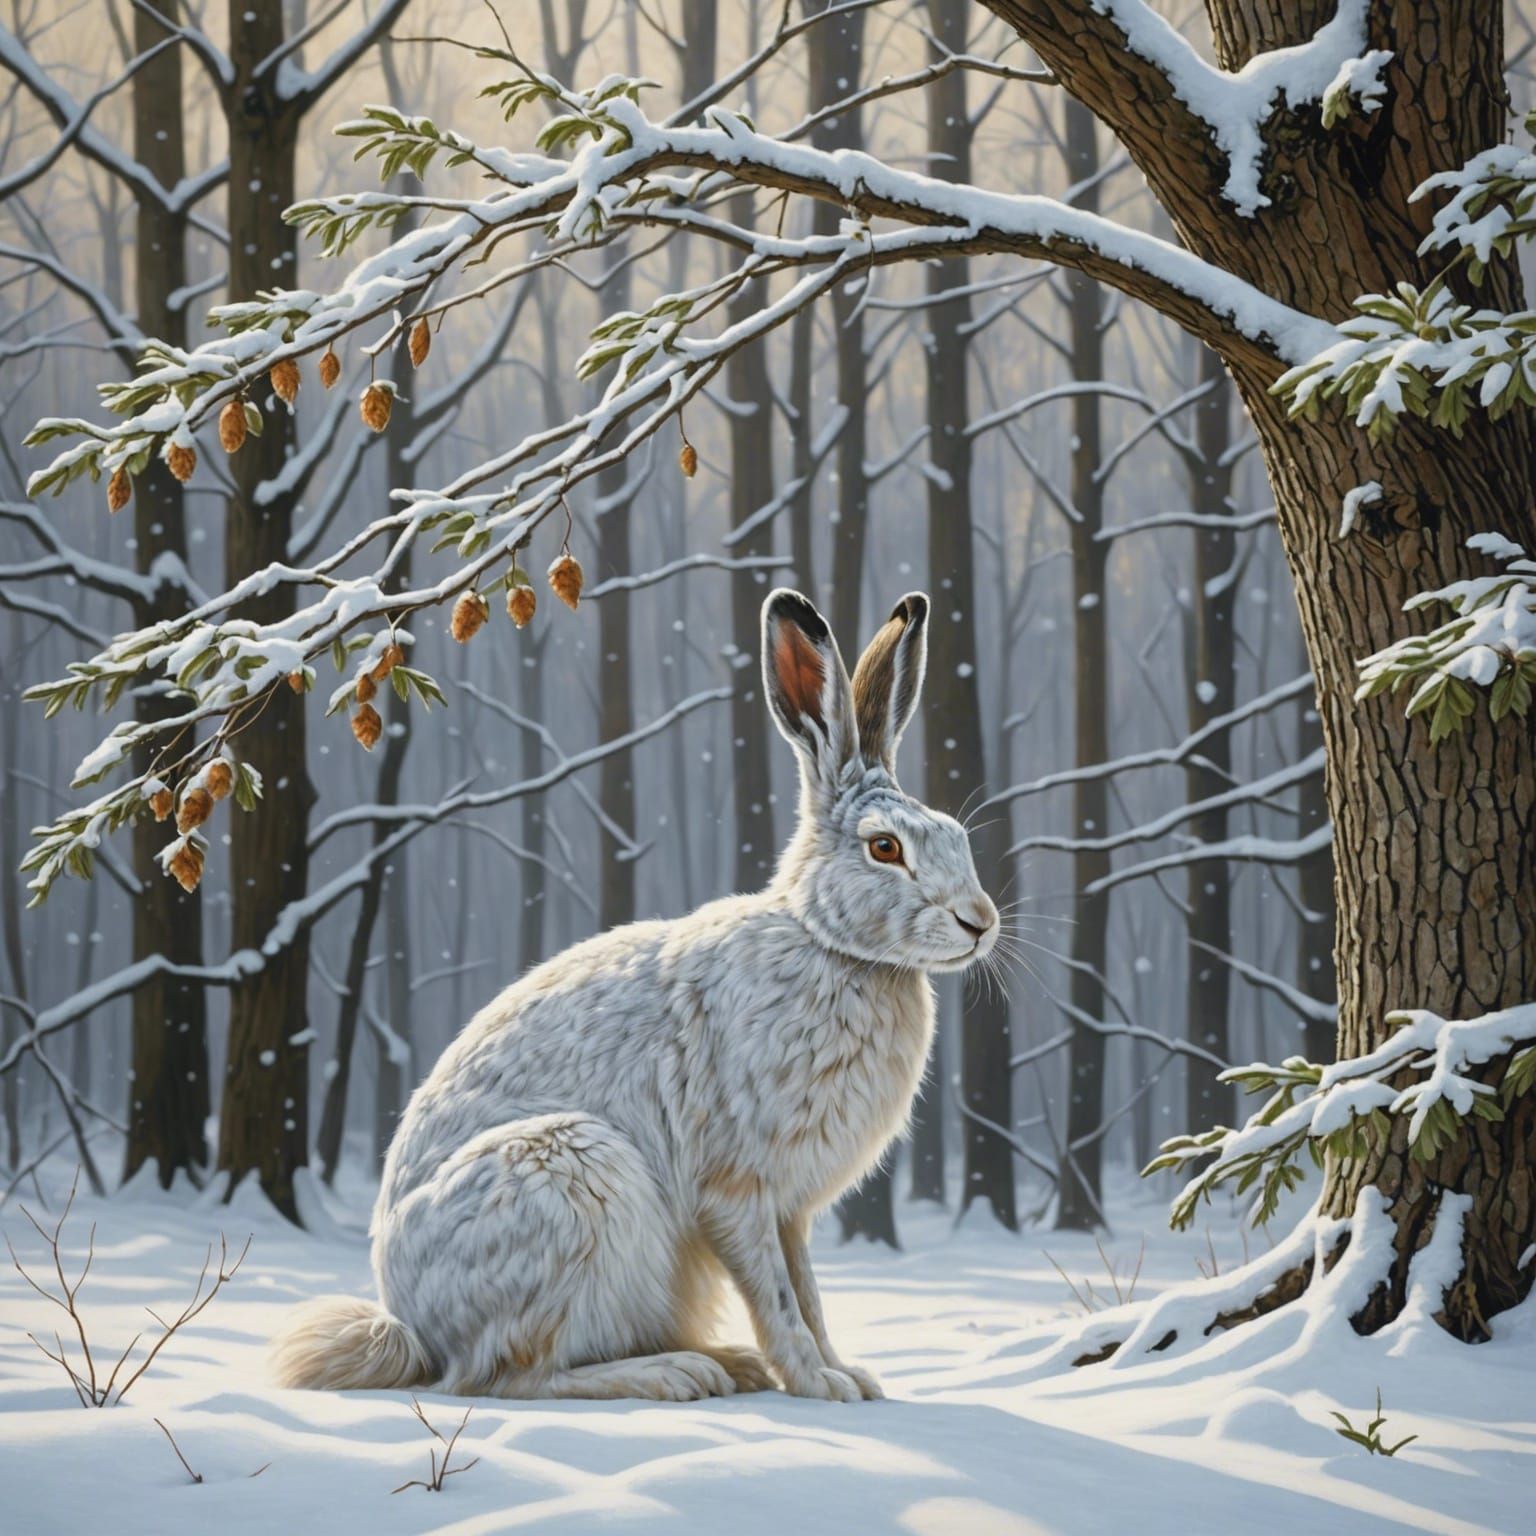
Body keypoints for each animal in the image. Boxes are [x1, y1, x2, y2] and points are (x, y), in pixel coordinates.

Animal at [273, 587, 999, 1403]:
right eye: (885, 848)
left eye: (955, 835)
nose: (981, 922)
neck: (831, 943)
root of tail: (410, 1327)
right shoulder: (738, 1191)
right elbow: (778, 1298)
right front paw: (821, 1385)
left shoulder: (789, 1211)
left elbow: (808, 1292)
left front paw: (851, 1375)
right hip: (569, 1175)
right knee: (508, 1378)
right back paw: (676, 1374)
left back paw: (727, 1364)